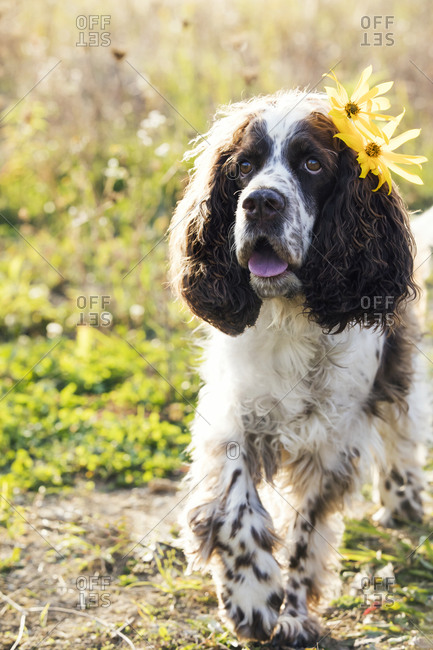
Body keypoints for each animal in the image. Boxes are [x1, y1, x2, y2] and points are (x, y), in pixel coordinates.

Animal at [167, 91, 426, 644]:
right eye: (244, 166)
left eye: (312, 164)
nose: (261, 202)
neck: (291, 314)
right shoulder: (231, 413)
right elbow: (236, 505)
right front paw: (251, 597)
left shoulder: (332, 439)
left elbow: (305, 532)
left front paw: (292, 612)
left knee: (403, 427)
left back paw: (403, 499)